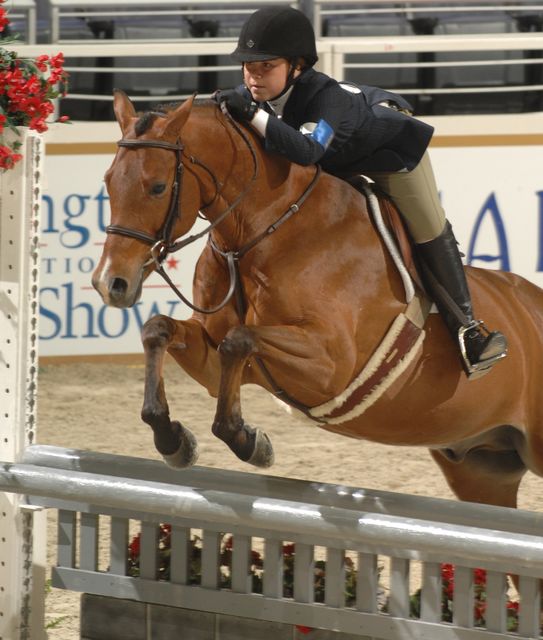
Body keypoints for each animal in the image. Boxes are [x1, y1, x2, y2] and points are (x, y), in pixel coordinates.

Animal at [94, 90, 543, 512]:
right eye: (108, 183)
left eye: (156, 187)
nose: (111, 282)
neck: (260, 233)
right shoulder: (217, 361)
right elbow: (160, 330)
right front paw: (173, 439)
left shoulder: (331, 365)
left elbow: (239, 340)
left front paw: (250, 442)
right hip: (482, 468)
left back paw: (481, 345)